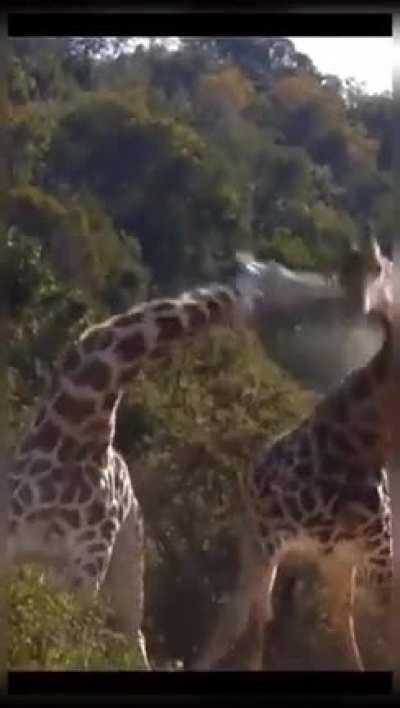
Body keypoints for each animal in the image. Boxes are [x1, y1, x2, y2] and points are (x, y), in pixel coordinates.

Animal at [7, 259, 347, 670]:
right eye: (282, 277)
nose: (329, 284)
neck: (74, 431)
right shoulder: (12, 533)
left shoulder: (84, 564)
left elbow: (58, 637)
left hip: (125, 560)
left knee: (131, 634)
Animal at [193, 236, 395, 672]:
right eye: (345, 271)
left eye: (380, 268)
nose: (359, 308)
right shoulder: (270, 537)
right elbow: (248, 617)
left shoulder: (377, 556)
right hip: (261, 539)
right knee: (247, 612)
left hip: (336, 562)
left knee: (332, 620)